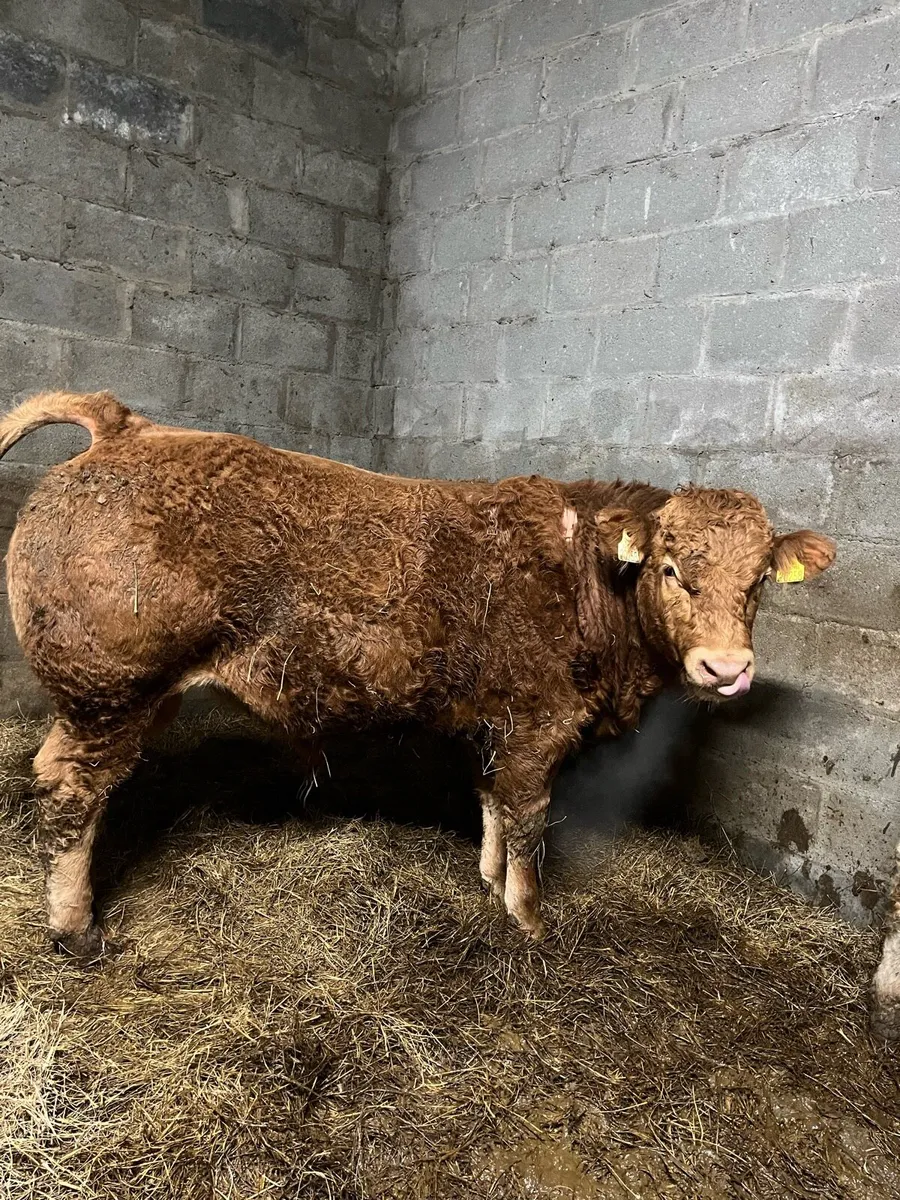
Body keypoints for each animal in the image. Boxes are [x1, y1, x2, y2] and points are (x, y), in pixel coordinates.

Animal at [0, 390, 835, 956]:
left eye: (759, 580)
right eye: (670, 568)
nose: (727, 667)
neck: (588, 576)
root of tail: (125, 426)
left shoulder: (497, 722)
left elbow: (492, 804)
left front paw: (488, 881)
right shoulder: (538, 725)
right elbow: (527, 820)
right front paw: (529, 920)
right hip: (111, 689)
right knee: (73, 792)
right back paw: (76, 931)